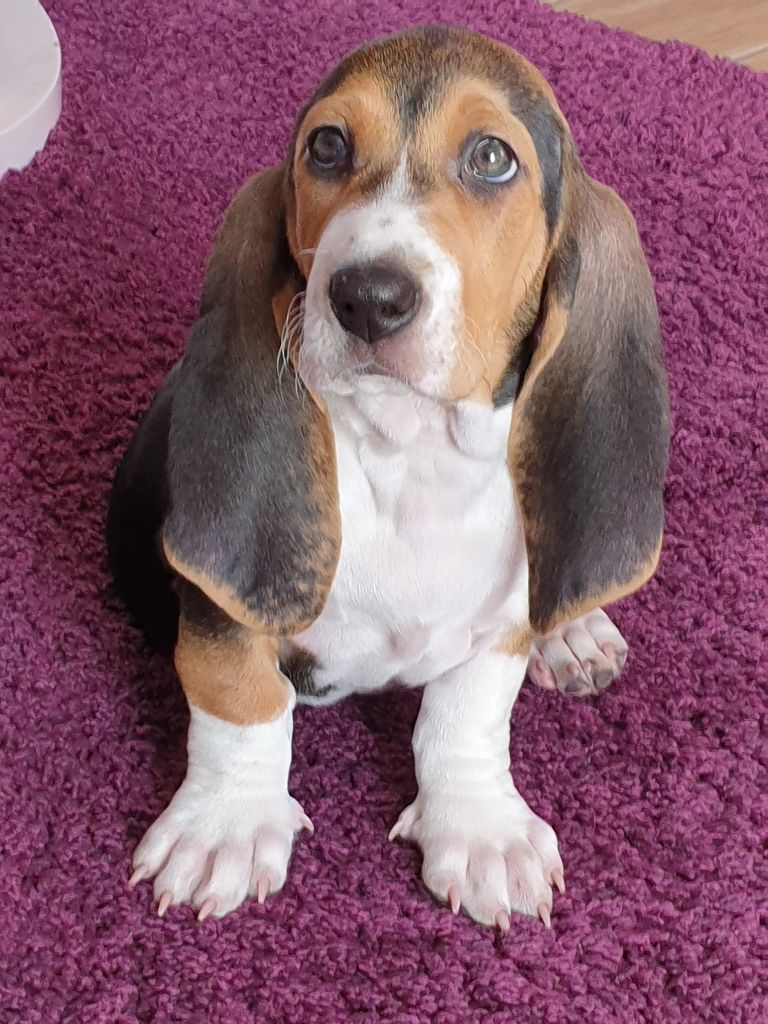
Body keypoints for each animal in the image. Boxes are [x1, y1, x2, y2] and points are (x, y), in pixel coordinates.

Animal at [107, 25, 669, 930]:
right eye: (327, 147)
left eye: (491, 157)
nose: (367, 297)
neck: (412, 455)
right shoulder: (221, 611)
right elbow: (241, 697)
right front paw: (226, 824)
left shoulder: (499, 621)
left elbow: (468, 714)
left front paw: (479, 828)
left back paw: (575, 630)